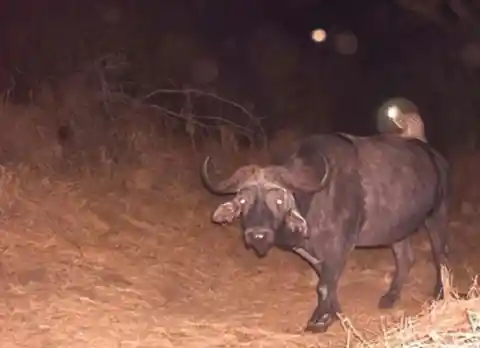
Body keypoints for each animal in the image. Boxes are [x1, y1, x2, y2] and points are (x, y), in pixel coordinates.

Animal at [202, 132, 450, 334]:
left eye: (279, 200)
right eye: (243, 201)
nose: (257, 235)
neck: (315, 200)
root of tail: (436, 157)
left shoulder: (340, 247)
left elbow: (323, 285)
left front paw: (319, 320)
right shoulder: (312, 252)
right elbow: (327, 282)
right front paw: (334, 312)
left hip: (436, 216)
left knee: (440, 254)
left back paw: (439, 292)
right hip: (396, 229)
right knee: (405, 257)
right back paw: (390, 297)